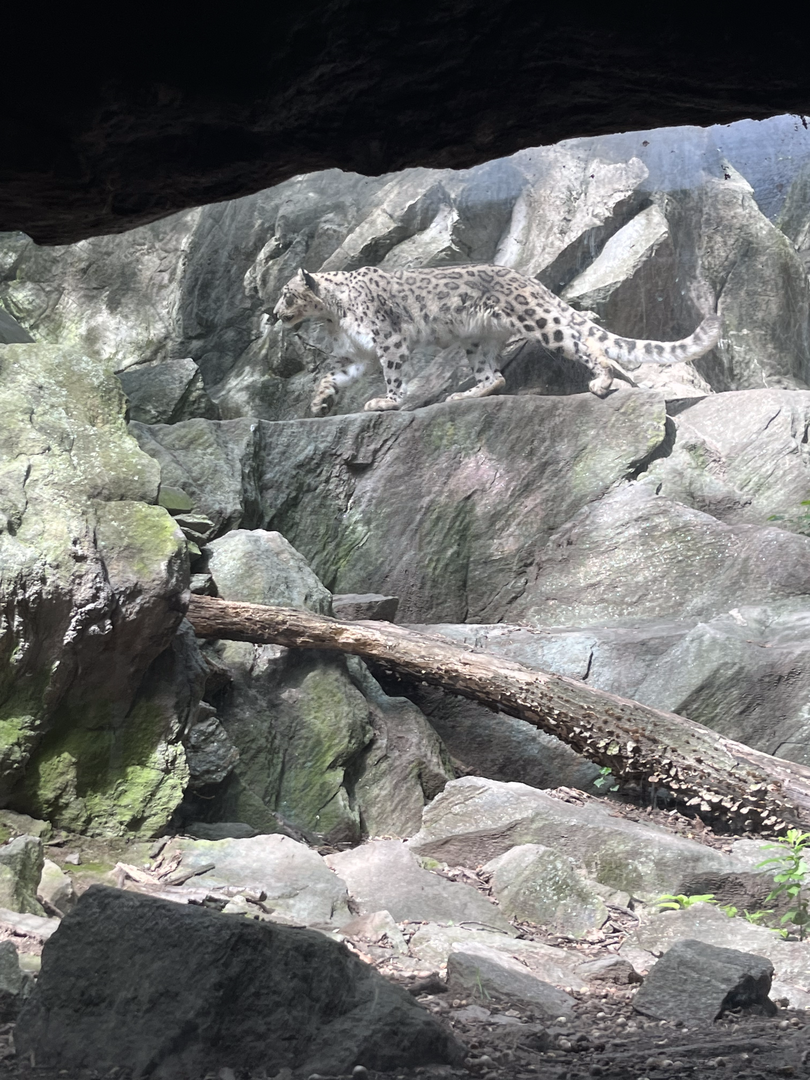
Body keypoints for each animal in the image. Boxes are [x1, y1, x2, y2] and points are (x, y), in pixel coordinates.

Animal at [271, 264, 722, 416]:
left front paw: (388, 401)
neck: (334, 317)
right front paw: (320, 402)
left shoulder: (389, 341)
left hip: (540, 323)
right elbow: (331, 375)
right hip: (478, 340)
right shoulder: (358, 355)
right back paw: (464, 395)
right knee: (495, 376)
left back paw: (601, 380)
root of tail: (528, 279)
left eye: (287, 294)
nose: (274, 313)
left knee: (584, 343)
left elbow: (394, 375)